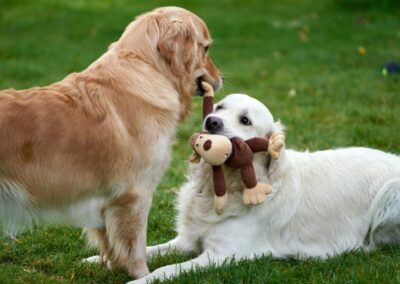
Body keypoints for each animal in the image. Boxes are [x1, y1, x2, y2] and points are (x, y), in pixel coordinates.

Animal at [0, 5, 222, 278]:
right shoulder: (134, 193)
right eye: (206, 48)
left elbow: (110, 242)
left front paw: (109, 265)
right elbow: (135, 246)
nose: (221, 78)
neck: (146, 70)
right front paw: (142, 276)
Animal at [129, 93, 400, 284]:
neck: (224, 187)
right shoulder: (187, 240)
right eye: (220, 107)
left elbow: (166, 269)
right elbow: (148, 250)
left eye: (245, 120)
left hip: (389, 194)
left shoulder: (221, 255)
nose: (211, 121)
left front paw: (138, 281)